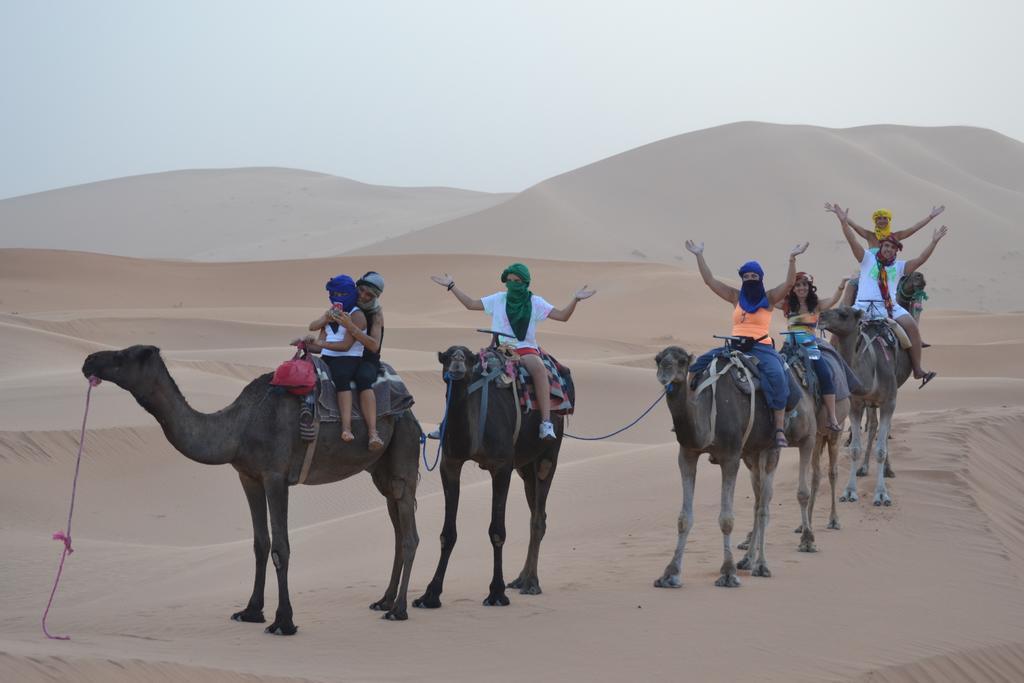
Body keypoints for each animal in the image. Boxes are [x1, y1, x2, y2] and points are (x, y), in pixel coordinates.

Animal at [81, 348, 421, 634]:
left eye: (123, 356)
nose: (89, 361)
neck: (238, 428)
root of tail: (409, 409)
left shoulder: (275, 475)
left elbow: (281, 547)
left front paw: (283, 621)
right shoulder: (248, 476)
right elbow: (260, 543)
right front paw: (250, 611)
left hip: (403, 453)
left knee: (409, 535)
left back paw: (399, 609)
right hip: (380, 470)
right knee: (396, 527)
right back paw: (384, 600)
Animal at [411, 348, 565, 610]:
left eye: (468, 357)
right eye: (448, 355)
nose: (457, 362)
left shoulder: (501, 467)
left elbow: (497, 531)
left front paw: (496, 593)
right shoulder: (450, 463)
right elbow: (447, 533)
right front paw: (430, 595)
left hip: (548, 454)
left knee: (538, 515)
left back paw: (531, 583)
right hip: (525, 466)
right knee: (537, 512)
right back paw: (520, 579)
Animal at [655, 344, 815, 589]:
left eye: (682, 361)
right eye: (658, 359)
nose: (664, 371)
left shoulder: (730, 457)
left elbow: (727, 519)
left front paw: (728, 573)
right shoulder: (687, 454)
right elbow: (684, 518)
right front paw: (670, 574)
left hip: (773, 447)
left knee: (764, 505)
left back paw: (762, 565)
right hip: (752, 452)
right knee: (758, 501)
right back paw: (748, 560)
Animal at [819, 307, 909, 505]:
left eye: (844, 314)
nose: (820, 316)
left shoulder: (889, 402)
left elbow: (881, 450)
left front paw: (882, 495)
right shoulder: (856, 404)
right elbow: (854, 449)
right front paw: (849, 492)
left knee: (883, 431)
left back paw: (888, 470)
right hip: (871, 404)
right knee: (873, 425)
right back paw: (864, 467)